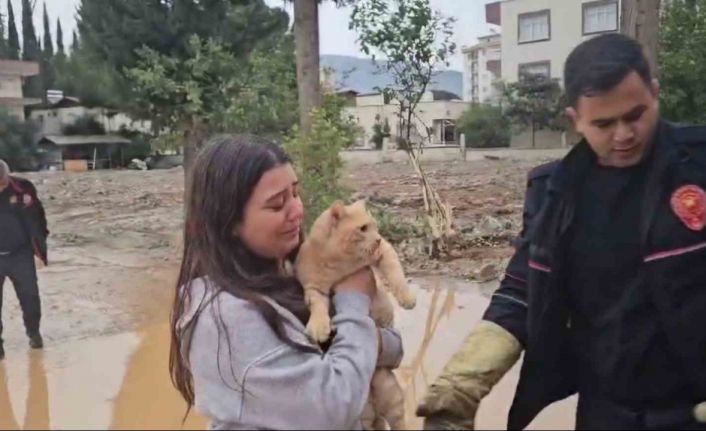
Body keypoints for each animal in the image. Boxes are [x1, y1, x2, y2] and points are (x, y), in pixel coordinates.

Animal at [294, 201, 416, 430]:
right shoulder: (314, 288)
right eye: (363, 228)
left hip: (391, 395)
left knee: (399, 422)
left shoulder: (384, 251)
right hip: (364, 413)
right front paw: (319, 327)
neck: (340, 263)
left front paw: (407, 298)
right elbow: (318, 307)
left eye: (375, 227)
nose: (377, 238)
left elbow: (396, 273)